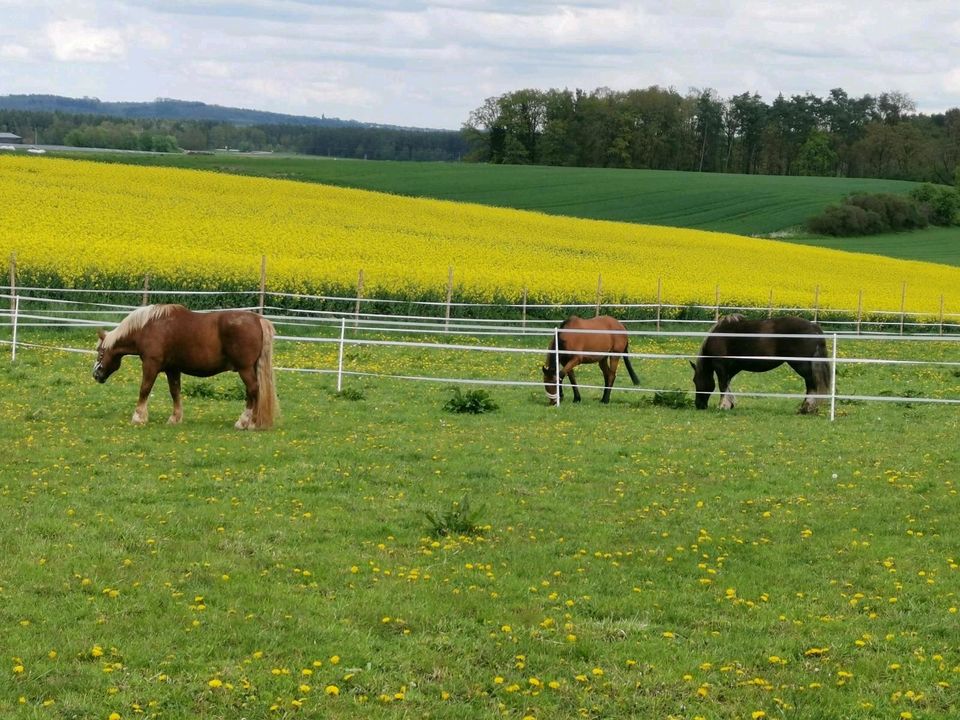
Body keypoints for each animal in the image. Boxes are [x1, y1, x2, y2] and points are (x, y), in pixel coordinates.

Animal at [94, 304, 280, 428]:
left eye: (100, 352)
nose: (96, 374)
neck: (148, 327)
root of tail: (258, 319)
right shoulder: (172, 369)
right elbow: (175, 392)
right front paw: (175, 418)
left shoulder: (151, 365)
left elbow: (145, 389)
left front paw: (138, 417)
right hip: (249, 369)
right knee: (251, 392)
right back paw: (244, 422)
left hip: (245, 369)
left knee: (254, 390)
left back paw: (251, 423)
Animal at [688, 312, 832, 414]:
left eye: (695, 381)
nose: (699, 405)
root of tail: (814, 327)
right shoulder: (731, 369)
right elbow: (728, 386)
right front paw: (730, 404)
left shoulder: (721, 367)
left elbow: (723, 386)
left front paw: (723, 406)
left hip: (803, 366)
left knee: (811, 385)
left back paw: (806, 409)